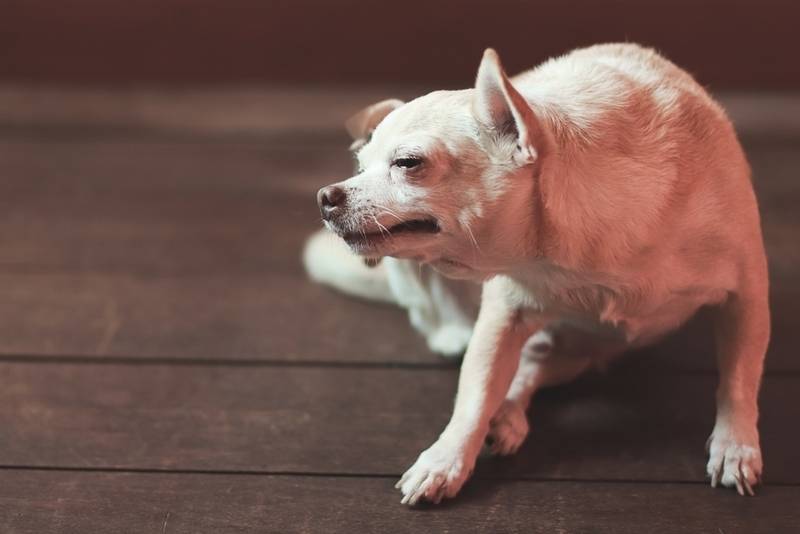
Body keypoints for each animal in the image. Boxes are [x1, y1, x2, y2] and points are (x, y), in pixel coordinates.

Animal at [302, 45, 768, 506]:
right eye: (360, 166)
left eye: (407, 163)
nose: (326, 196)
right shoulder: (503, 315)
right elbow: (475, 392)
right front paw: (446, 459)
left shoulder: (746, 297)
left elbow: (739, 377)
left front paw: (735, 445)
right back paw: (497, 404)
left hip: (582, 350)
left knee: (533, 365)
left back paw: (508, 414)